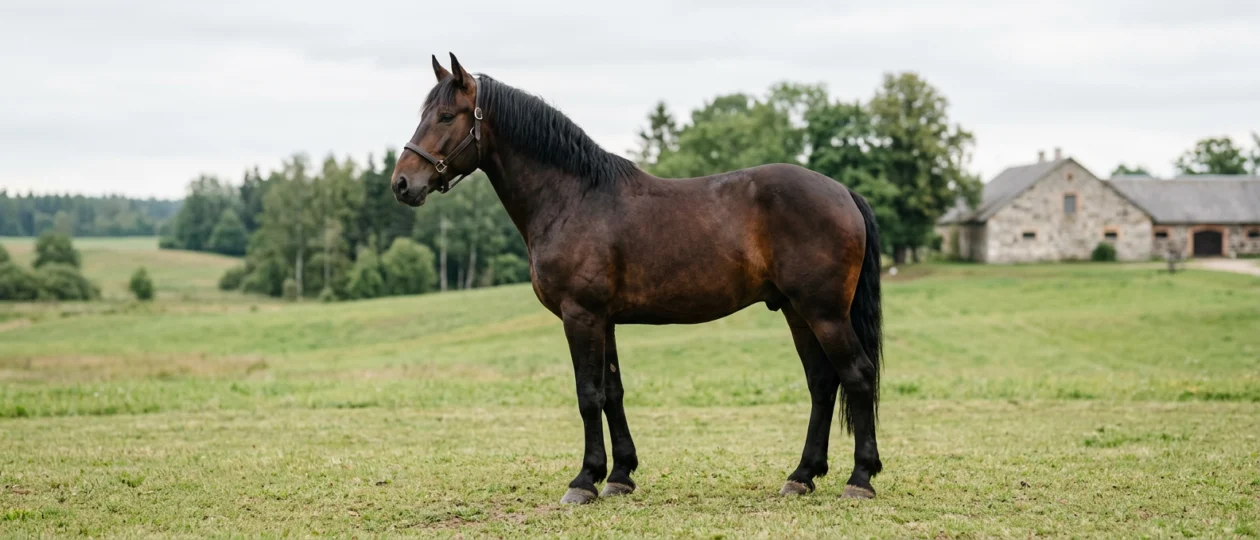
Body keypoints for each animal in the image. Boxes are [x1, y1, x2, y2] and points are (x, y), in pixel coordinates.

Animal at [391, 54, 884, 505]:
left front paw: (584, 481)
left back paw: (859, 479)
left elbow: (588, 394)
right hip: (798, 312)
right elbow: (613, 392)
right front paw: (620, 475)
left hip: (824, 313)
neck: (574, 198)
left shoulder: (581, 316)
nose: (401, 184)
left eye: (447, 115)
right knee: (822, 383)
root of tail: (843, 191)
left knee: (857, 375)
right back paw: (802, 475)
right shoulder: (604, 319)